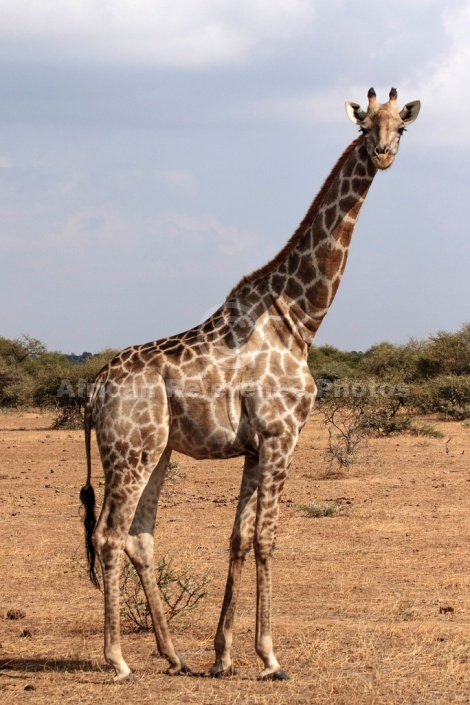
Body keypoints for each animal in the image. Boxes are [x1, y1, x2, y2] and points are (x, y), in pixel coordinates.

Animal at [80, 88, 418, 680]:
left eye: (401, 125)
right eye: (363, 125)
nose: (381, 154)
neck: (299, 319)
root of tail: (98, 387)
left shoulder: (255, 447)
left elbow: (237, 536)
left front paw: (223, 656)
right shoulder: (283, 435)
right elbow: (266, 538)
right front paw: (269, 656)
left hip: (157, 451)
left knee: (141, 536)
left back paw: (175, 656)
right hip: (128, 450)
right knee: (109, 535)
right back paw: (118, 660)